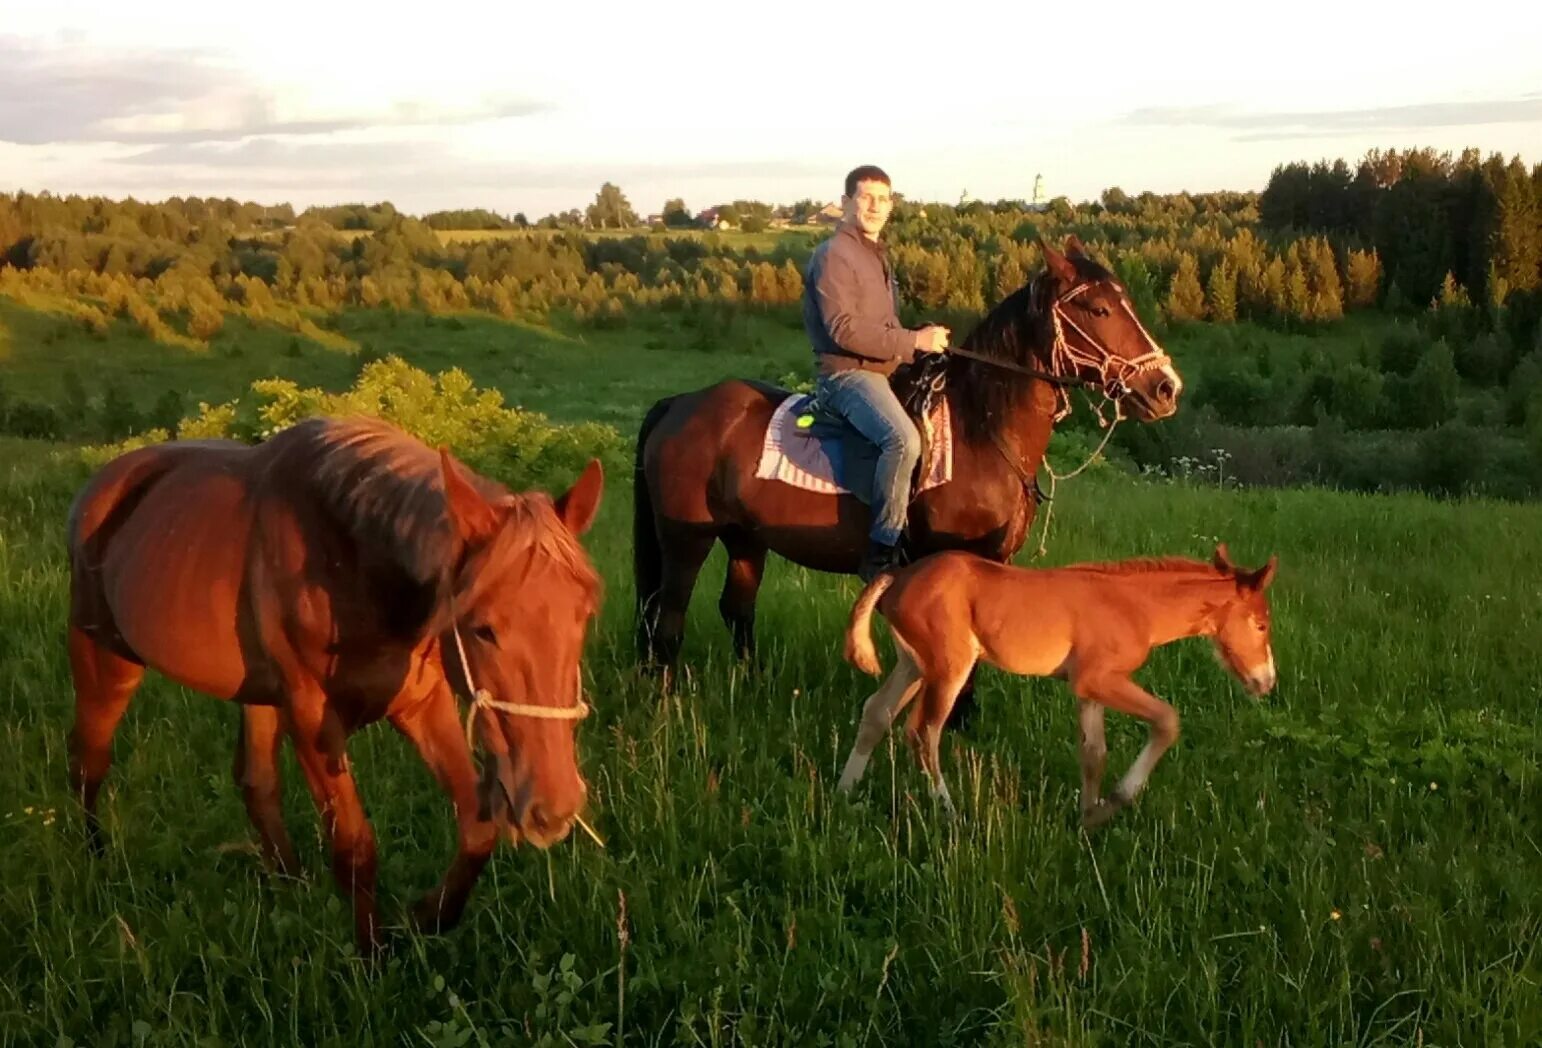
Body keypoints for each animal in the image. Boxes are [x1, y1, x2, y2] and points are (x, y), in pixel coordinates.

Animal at [67, 413, 607, 955]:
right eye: (482, 628)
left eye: (585, 616)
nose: (552, 809)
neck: (352, 558)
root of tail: (100, 484)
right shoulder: (312, 718)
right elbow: (354, 849)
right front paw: (372, 956)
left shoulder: (422, 703)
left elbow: (476, 826)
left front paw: (422, 918)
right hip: (105, 662)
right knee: (88, 760)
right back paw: (95, 863)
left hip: (258, 693)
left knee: (257, 782)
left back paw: (291, 884)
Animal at [632, 238, 1184, 696]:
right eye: (1099, 308)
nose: (1166, 388)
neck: (979, 430)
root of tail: (680, 404)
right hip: (686, 540)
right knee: (667, 619)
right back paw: (666, 704)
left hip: (746, 539)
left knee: (736, 610)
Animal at [838, 548, 1282, 826]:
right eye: (1261, 624)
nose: (1266, 682)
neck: (1136, 607)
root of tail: (897, 576)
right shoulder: (1099, 679)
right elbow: (1167, 721)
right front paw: (1114, 802)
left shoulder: (1086, 688)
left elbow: (1093, 753)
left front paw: (1087, 819)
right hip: (950, 666)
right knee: (922, 731)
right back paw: (950, 812)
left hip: (913, 664)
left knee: (876, 711)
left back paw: (845, 791)